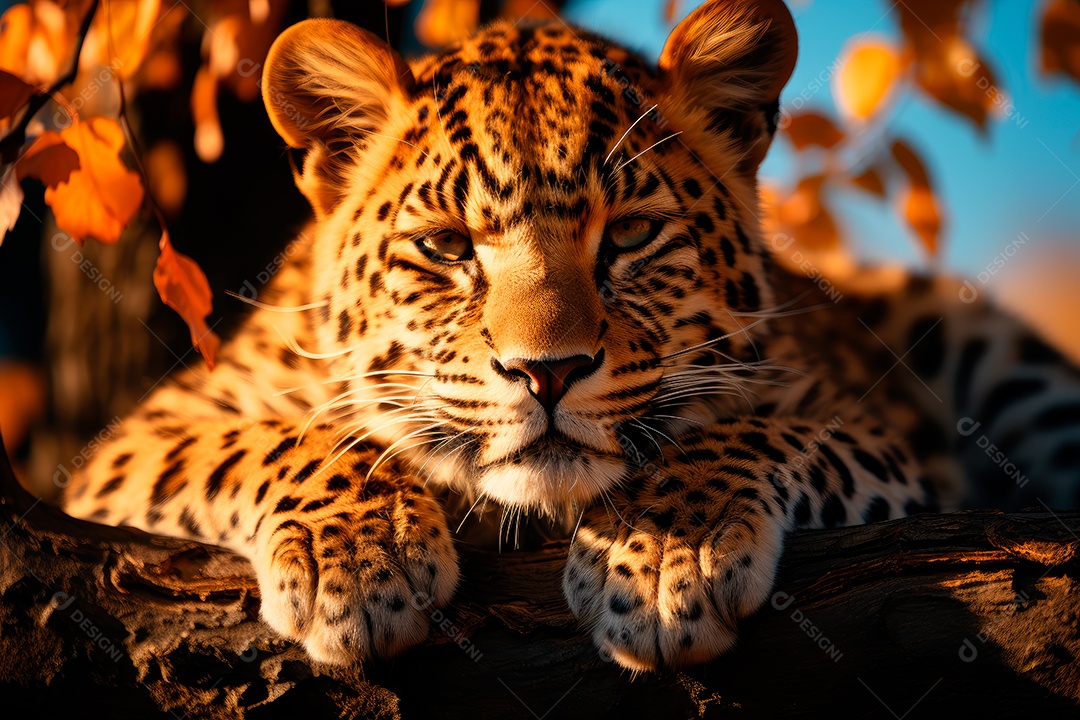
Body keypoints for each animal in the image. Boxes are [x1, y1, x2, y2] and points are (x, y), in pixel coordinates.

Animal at [63, 0, 1080, 673]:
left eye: (627, 235)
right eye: (448, 246)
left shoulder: (879, 427)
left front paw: (668, 550)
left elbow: (760, 431)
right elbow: (279, 440)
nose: (546, 373)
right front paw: (355, 552)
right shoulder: (136, 443)